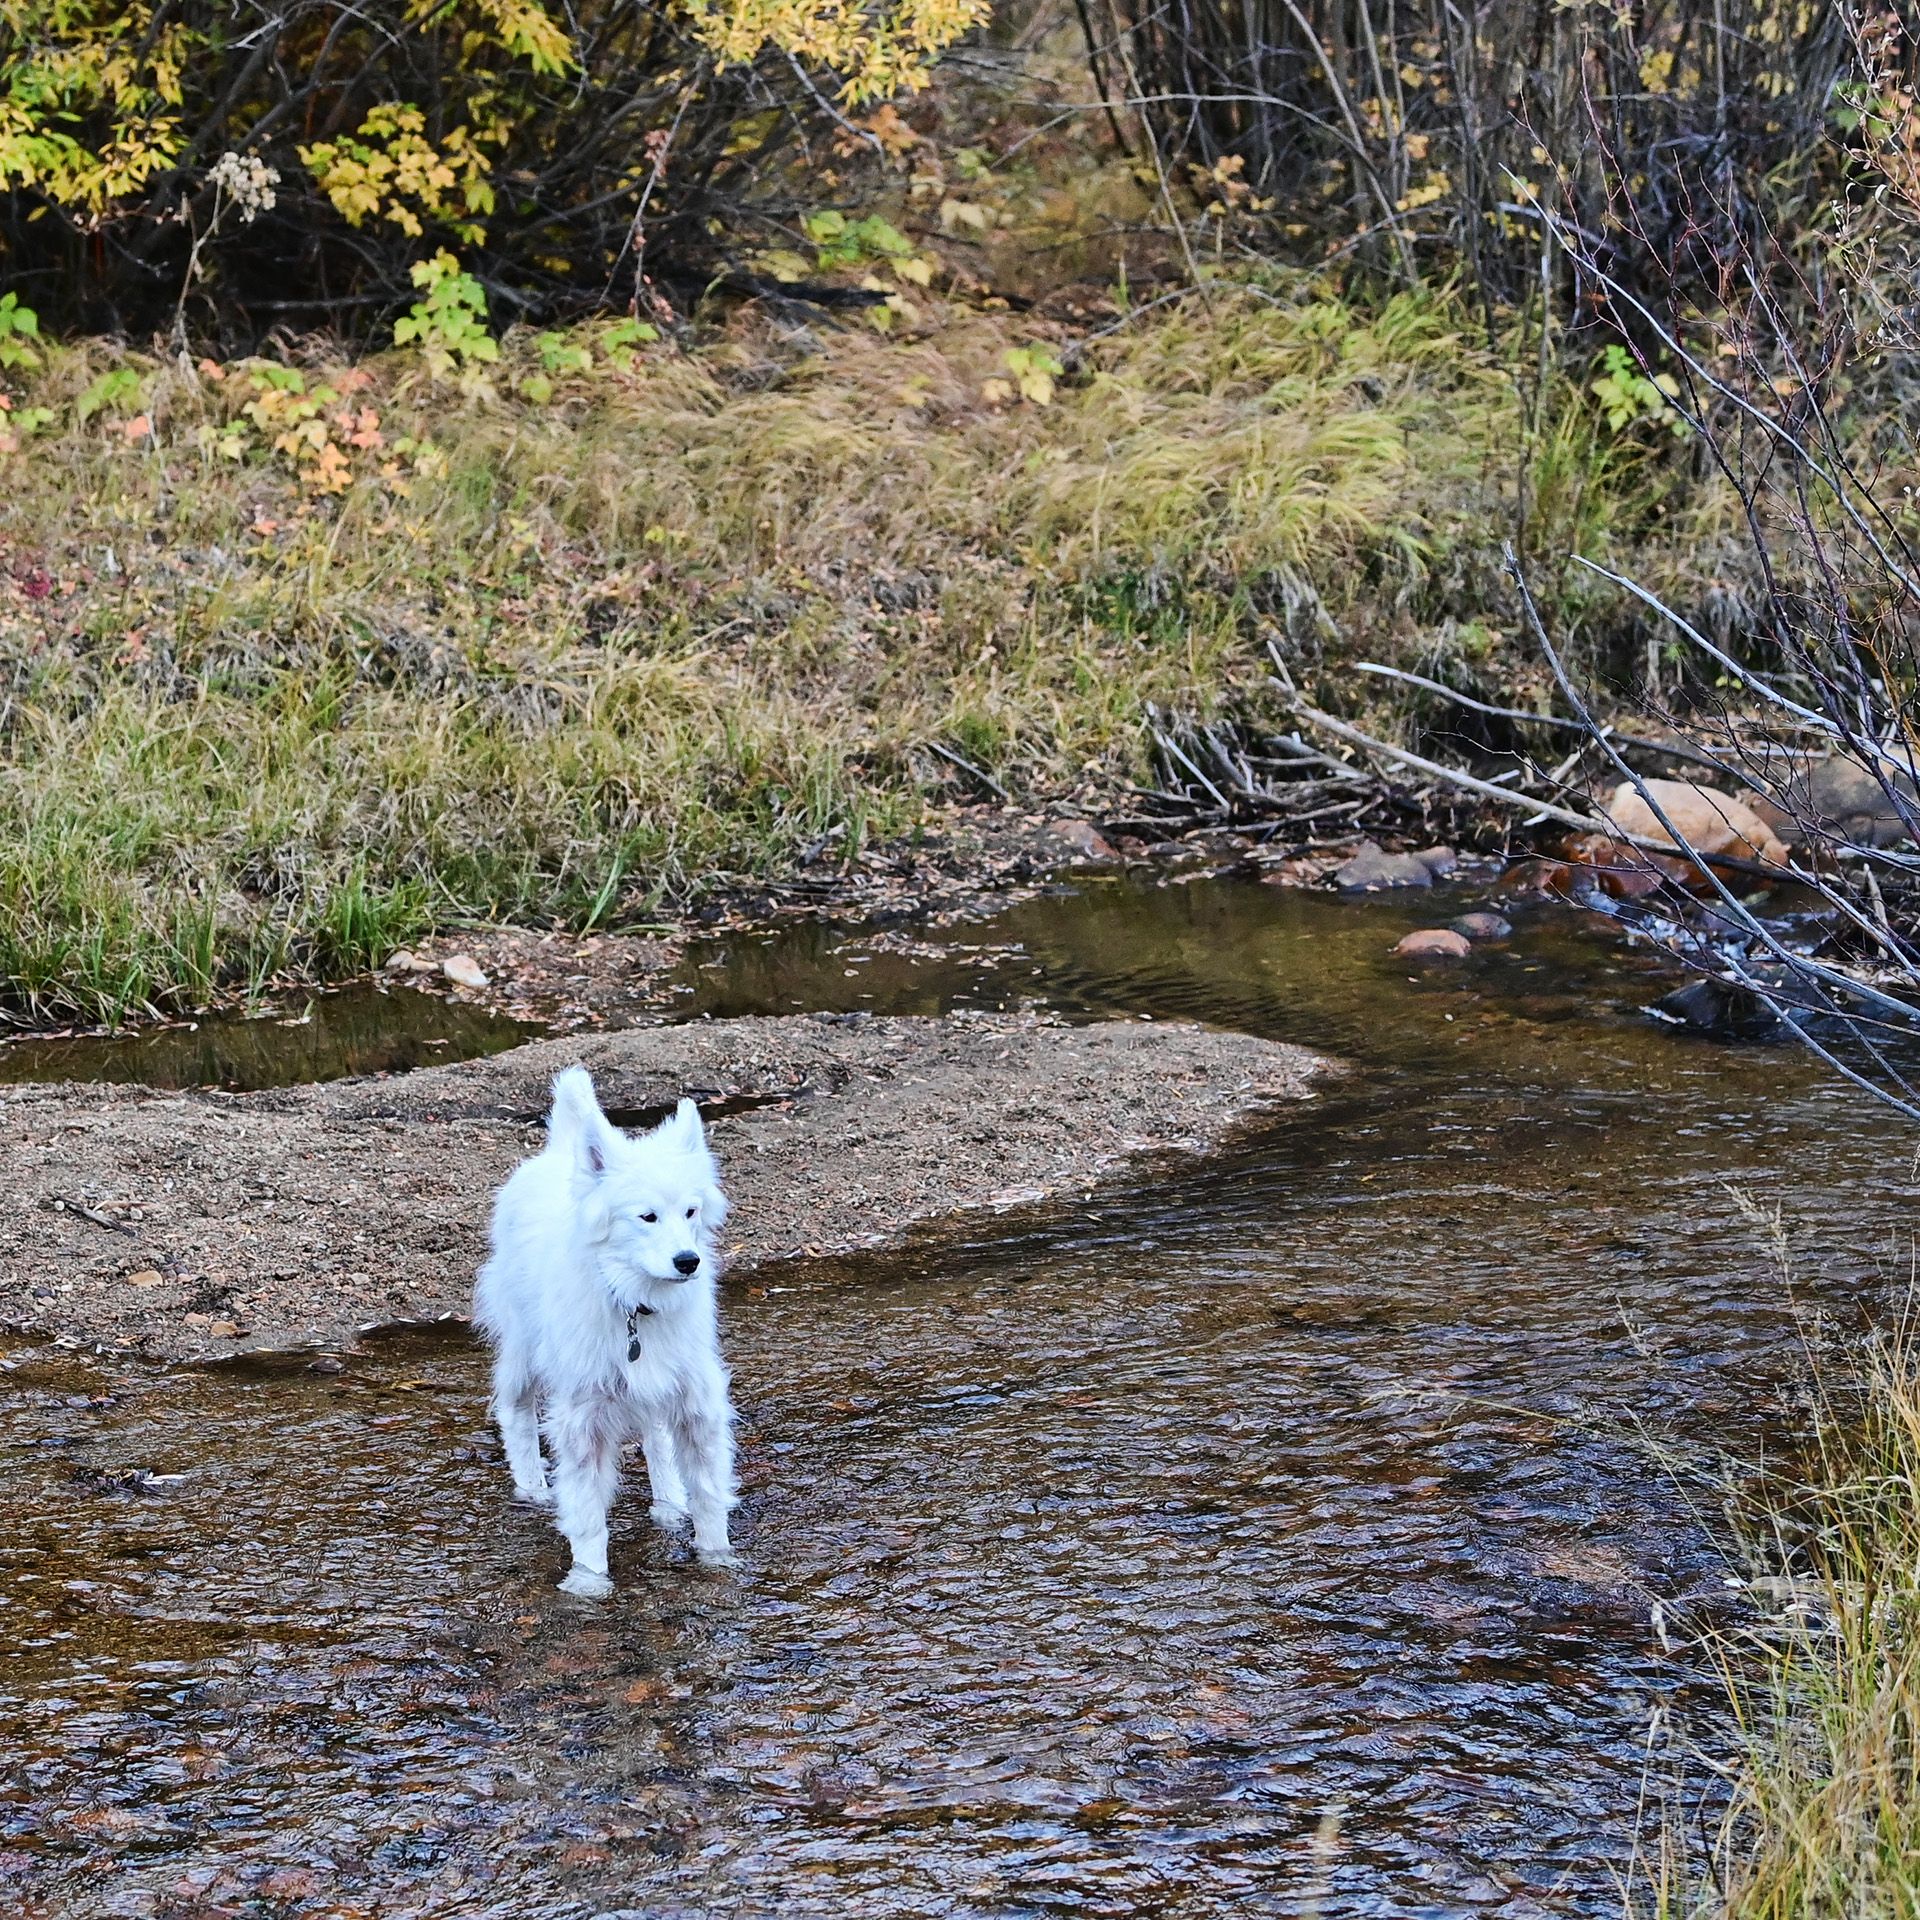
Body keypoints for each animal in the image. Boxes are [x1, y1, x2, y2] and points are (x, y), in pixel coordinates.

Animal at [476, 1067, 737, 1589]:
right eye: (647, 1216)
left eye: (691, 1211)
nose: (688, 1261)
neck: (636, 1304)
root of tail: (560, 1152)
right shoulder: (583, 1417)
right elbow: (587, 1513)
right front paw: (588, 1582)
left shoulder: (694, 1400)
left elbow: (708, 1493)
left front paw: (717, 1558)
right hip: (523, 1351)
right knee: (515, 1412)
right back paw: (531, 1487)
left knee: (656, 1441)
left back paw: (668, 1504)